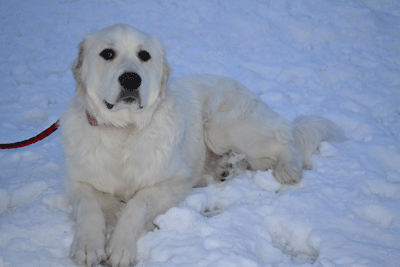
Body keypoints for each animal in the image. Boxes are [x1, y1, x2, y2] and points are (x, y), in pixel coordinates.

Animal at [61, 24, 346, 266]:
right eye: (107, 54)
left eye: (144, 55)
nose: (131, 79)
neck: (123, 131)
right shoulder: (77, 182)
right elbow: (89, 207)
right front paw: (87, 246)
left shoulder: (173, 181)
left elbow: (136, 205)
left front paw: (120, 248)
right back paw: (225, 168)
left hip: (222, 125)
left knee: (285, 141)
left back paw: (286, 169)